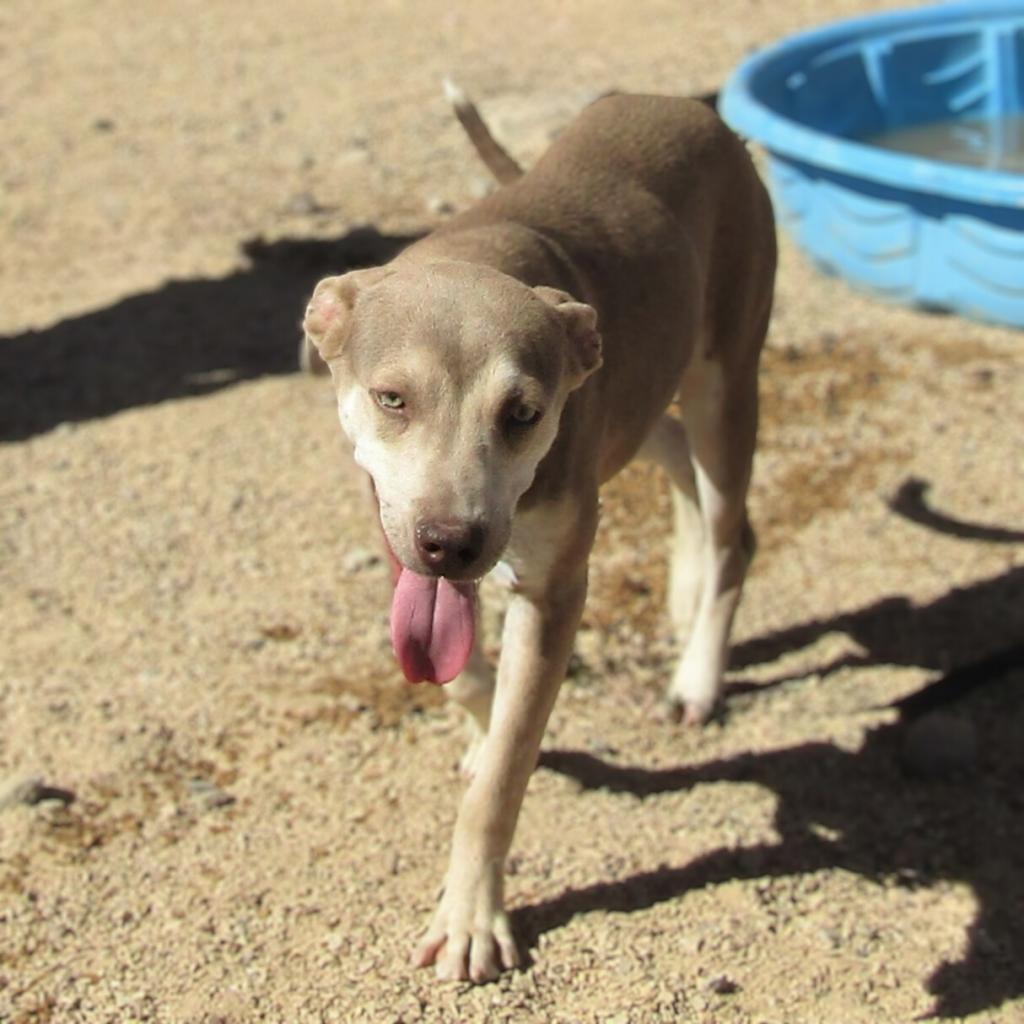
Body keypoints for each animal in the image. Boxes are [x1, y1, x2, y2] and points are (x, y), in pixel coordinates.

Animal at [301, 83, 774, 978]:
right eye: (392, 399)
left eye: (521, 413)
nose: (452, 542)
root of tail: (680, 104)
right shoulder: (394, 530)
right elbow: (463, 679)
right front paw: (482, 727)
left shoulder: (555, 591)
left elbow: (501, 779)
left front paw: (470, 920)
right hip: (638, 397)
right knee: (673, 458)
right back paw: (683, 588)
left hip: (724, 385)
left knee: (736, 532)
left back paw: (698, 673)